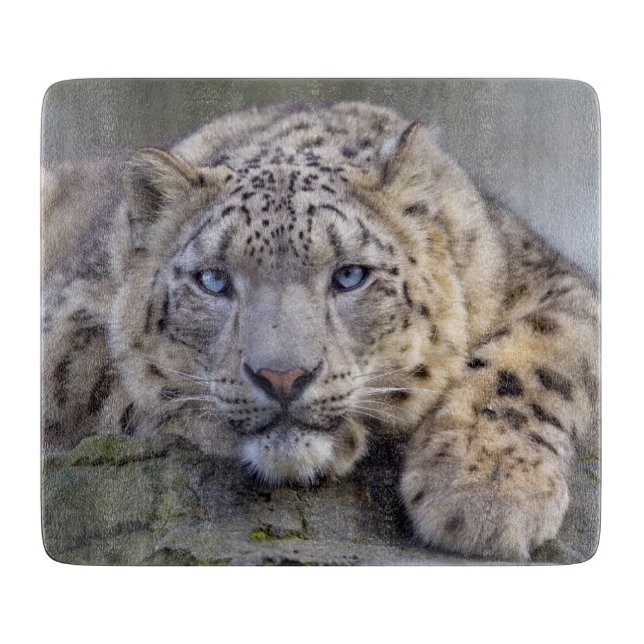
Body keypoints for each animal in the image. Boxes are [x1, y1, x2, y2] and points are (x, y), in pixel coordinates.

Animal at [42, 101, 599, 561]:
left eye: (350, 275)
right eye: (213, 280)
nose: (282, 377)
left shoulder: (556, 285)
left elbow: (533, 365)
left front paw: (486, 492)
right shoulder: (64, 320)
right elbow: (122, 383)